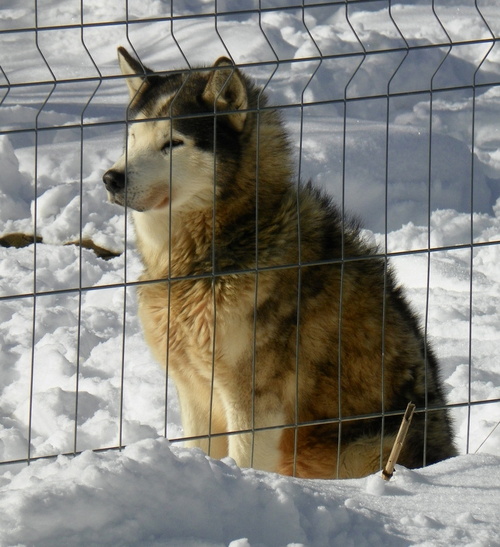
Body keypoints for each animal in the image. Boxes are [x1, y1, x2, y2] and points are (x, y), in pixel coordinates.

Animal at [104, 48, 458, 480]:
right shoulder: (194, 393)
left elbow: (244, 461)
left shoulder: (254, 404)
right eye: (132, 138)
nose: (111, 178)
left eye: (173, 142)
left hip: (361, 449)